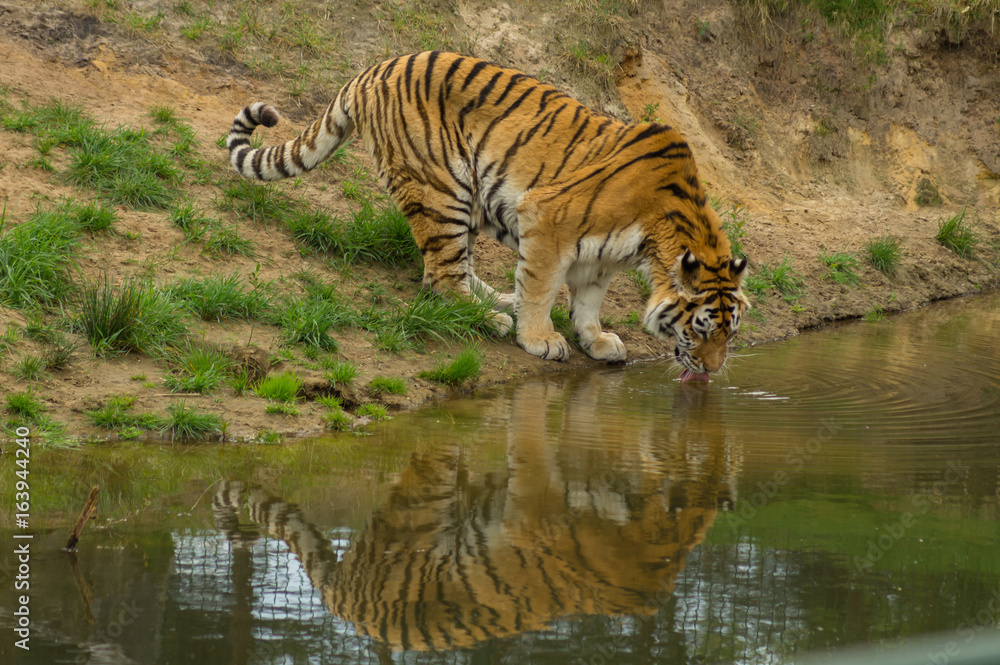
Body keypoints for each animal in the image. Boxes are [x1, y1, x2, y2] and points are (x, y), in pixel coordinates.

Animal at [227, 51, 748, 379]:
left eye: (732, 332)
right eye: (700, 328)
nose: (713, 371)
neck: (659, 233)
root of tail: (373, 69)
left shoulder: (599, 257)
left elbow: (587, 303)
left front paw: (595, 341)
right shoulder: (547, 219)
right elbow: (541, 288)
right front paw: (540, 339)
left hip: (466, 198)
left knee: (452, 266)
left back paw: (497, 299)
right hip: (442, 188)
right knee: (441, 277)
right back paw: (490, 318)